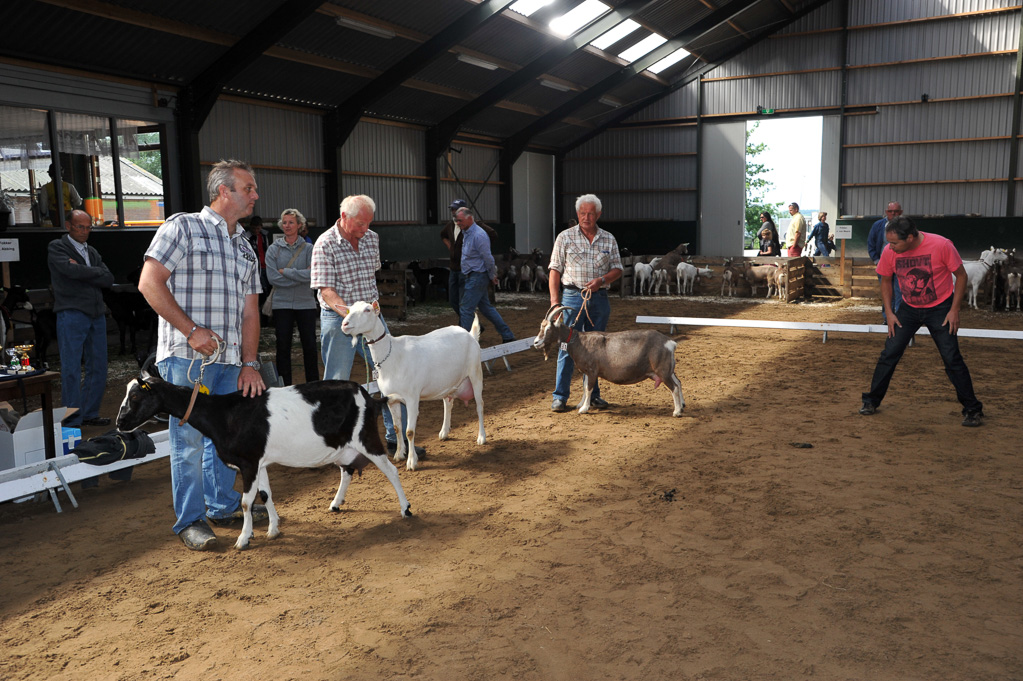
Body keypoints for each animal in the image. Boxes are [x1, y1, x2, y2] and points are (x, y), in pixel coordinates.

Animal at [116, 368, 411, 548]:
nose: (120, 423)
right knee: (346, 471)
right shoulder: (260, 462)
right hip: (342, 445)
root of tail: (369, 396)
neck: (224, 414)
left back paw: (406, 509)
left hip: (366, 438)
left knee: (391, 471)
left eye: (135, 395)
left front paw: (244, 539)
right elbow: (266, 494)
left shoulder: (248, 462)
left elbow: (247, 503)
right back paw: (336, 504)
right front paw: (273, 529)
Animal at [339, 300, 482, 470]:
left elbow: (409, 431)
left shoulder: (412, 398)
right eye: (349, 310)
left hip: (475, 373)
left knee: (480, 405)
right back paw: (444, 433)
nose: (345, 324)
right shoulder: (391, 399)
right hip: (449, 382)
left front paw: (412, 461)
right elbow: (397, 427)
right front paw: (399, 454)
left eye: (367, 310)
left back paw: (482, 437)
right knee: (448, 403)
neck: (393, 354)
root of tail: (470, 334)